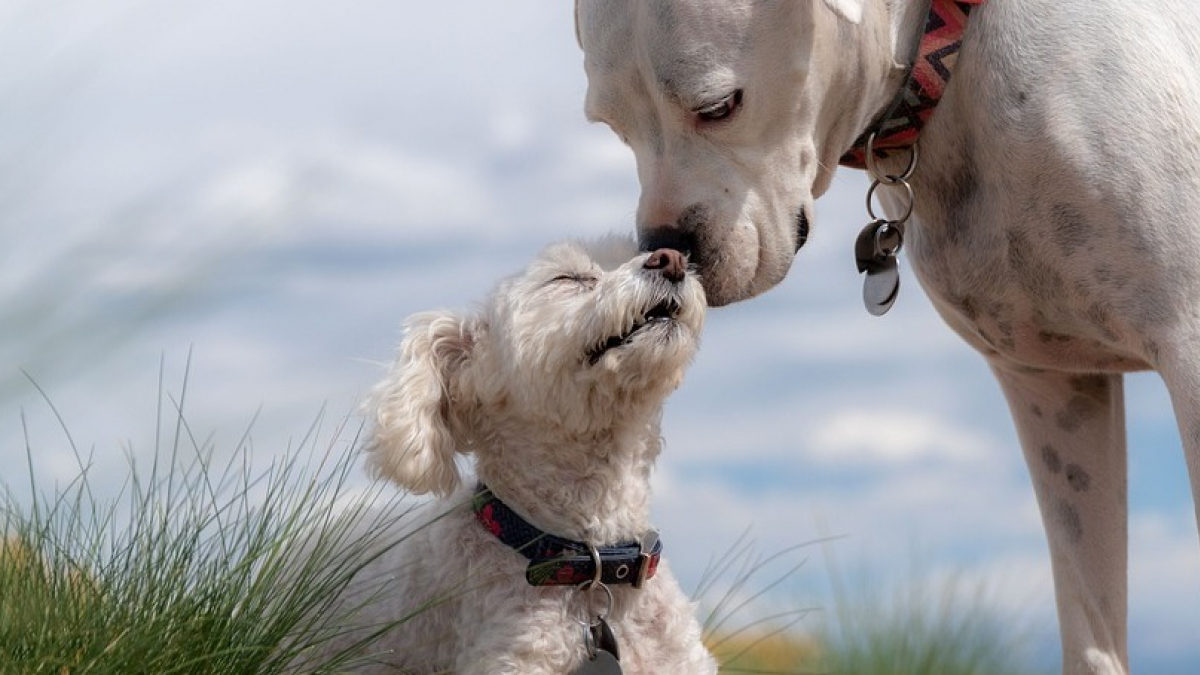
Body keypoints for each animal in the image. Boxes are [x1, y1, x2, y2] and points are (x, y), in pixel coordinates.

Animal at [573, 1, 1200, 672]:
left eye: (719, 106)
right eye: (613, 126)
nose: (667, 248)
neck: (952, 54)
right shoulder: (1056, 390)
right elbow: (1090, 633)